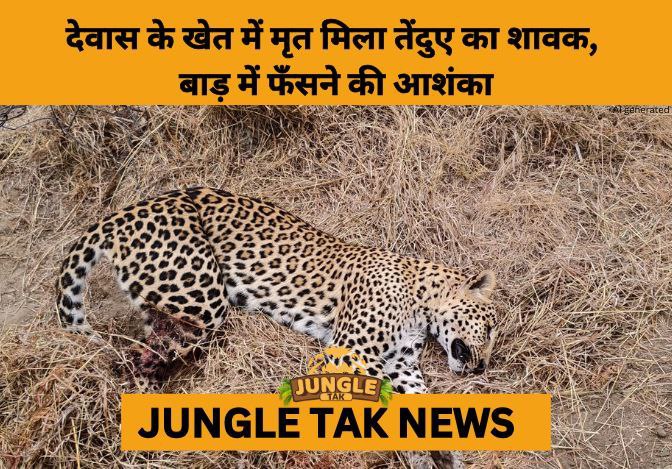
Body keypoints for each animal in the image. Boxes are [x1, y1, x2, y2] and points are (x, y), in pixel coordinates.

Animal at [56, 187, 499, 468]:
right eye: (492, 326)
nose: (482, 367)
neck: (420, 301)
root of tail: (120, 213)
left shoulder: (399, 363)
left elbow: (418, 403)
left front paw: (439, 453)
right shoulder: (349, 353)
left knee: (150, 348)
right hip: (202, 297)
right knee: (136, 358)